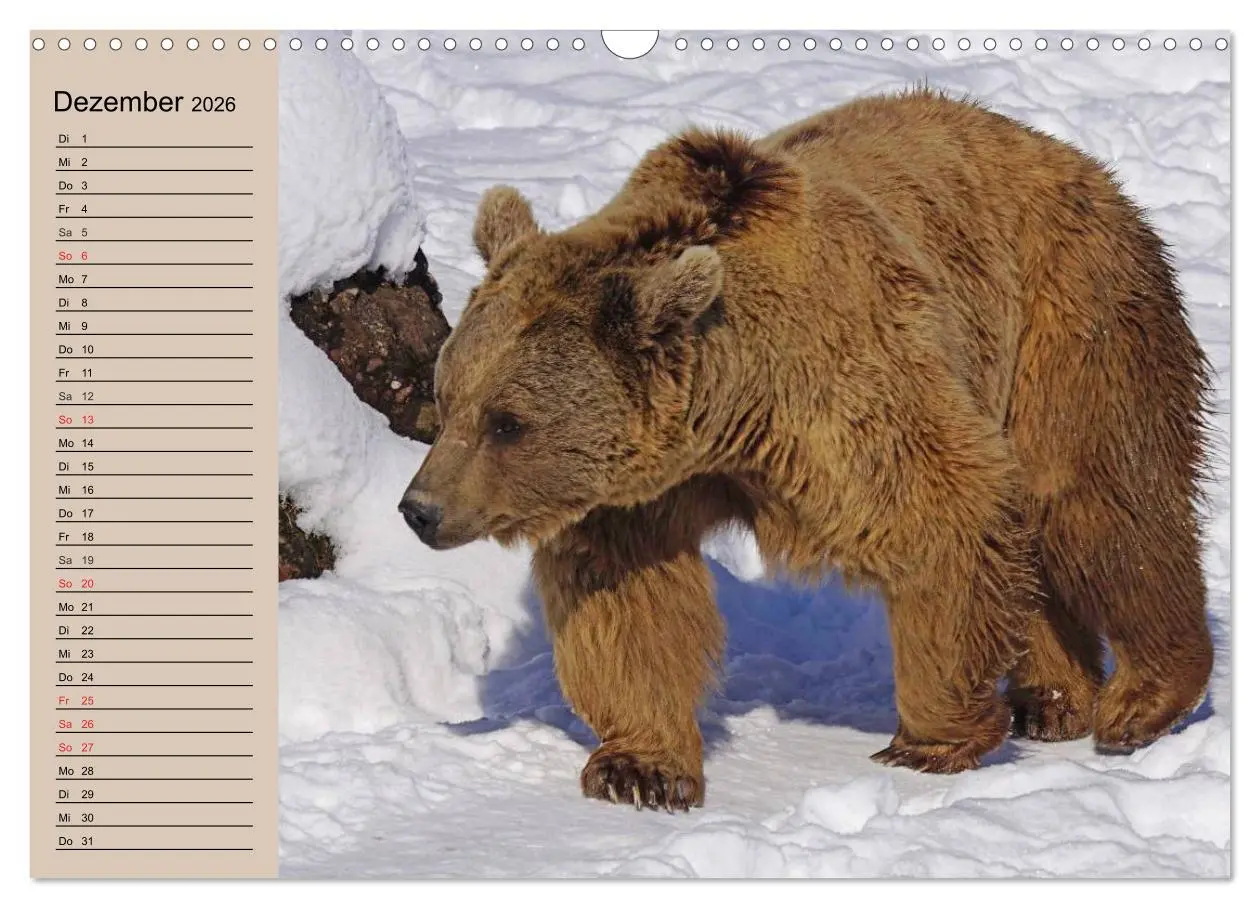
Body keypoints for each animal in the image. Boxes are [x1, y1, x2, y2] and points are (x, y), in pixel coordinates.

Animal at [398, 89, 1215, 812]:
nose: (420, 509)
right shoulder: (639, 487)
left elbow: (942, 513)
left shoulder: (843, 389)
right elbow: (627, 599)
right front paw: (640, 770)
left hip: (1065, 317)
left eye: (507, 422)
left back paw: (1143, 698)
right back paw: (1049, 698)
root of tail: (1064, 154)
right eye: (448, 397)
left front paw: (929, 739)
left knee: (1098, 502)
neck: (727, 407)